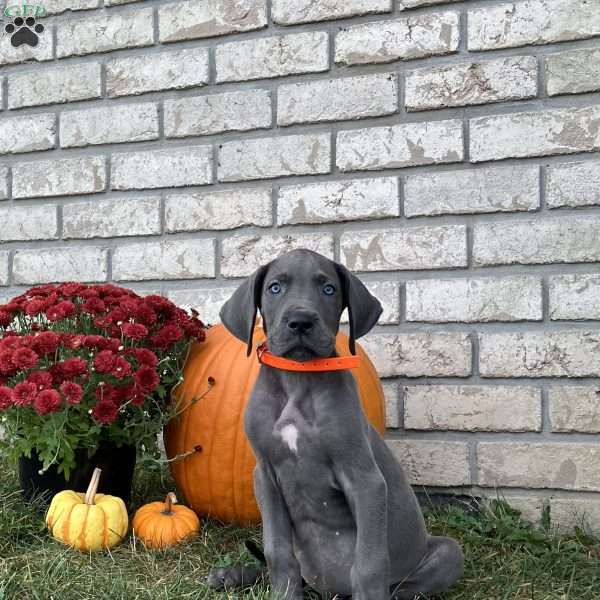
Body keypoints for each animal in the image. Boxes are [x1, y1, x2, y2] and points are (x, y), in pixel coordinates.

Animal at [216, 250, 464, 600]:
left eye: (329, 289)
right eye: (275, 288)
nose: (301, 321)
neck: (298, 379)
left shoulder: (364, 478)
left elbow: (369, 564)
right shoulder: (265, 475)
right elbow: (277, 552)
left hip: (446, 553)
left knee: (404, 584)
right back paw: (230, 575)